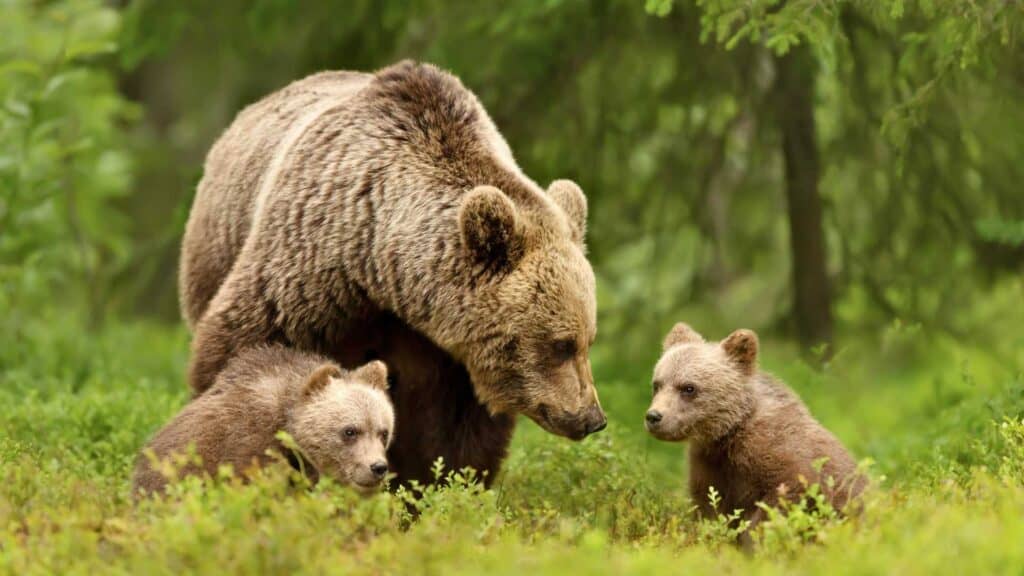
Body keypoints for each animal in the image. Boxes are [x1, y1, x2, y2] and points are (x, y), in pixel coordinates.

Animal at [180, 60, 602, 483]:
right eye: (561, 344)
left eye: (588, 339)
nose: (592, 418)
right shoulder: (308, 274)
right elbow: (245, 348)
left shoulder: (445, 355)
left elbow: (449, 432)